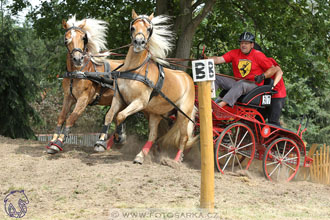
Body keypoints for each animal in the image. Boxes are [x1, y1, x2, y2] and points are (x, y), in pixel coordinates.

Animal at [47, 16, 126, 154]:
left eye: (83, 38)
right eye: (66, 39)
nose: (77, 59)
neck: (78, 72)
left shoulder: (83, 99)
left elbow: (71, 118)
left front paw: (58, 142)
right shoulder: (68, 97)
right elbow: (61, 117)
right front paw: (53, 140)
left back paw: (103, 141)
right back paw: (118, 136)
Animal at [95, 10, 197, 164]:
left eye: (149, 29)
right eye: (133, 27)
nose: (139, 42)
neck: (135, 70)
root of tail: (188, 78)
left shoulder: (139, 102)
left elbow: (120, 116)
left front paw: (120, 137)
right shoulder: (119, 98)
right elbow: (110, 116)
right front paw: (101, 142)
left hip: (183, 114)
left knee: (183, 137)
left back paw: (175, 161)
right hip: (155, 114)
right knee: (153, 135)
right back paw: (140, 156)